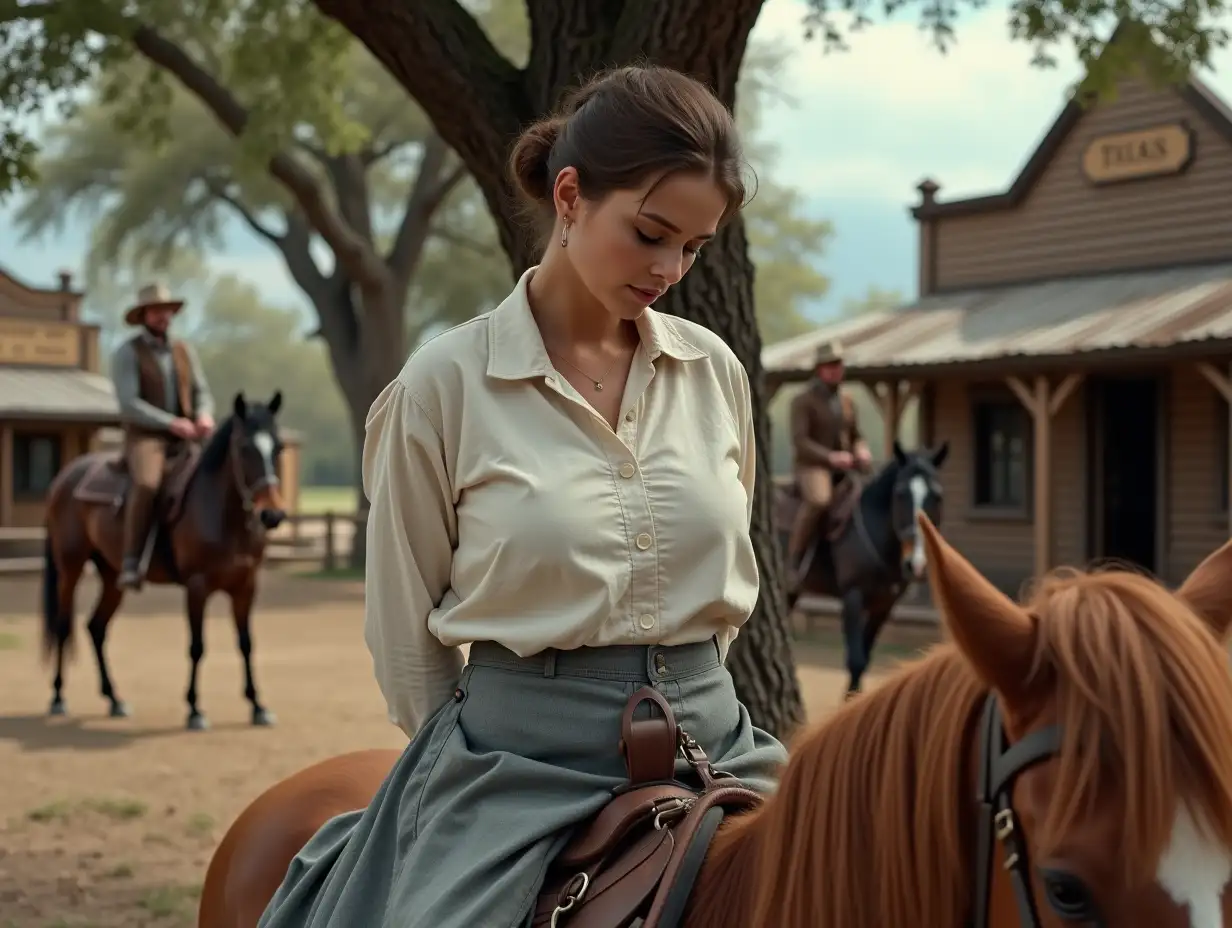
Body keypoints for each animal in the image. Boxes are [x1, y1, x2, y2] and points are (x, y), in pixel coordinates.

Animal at [39, 391, 290, 729]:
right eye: (244, 448)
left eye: (278, 447)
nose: (272, 514)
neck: (224, 515)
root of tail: (64, 478)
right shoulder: (197, 587)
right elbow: (197, 646)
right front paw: (195, 709)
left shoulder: (245, 587)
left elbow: (246, 643)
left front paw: (257, 705)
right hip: (71, 568)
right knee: (64, 626)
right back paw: (58, 697)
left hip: (112, 577)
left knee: (96, 627)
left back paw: (114, 699)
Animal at [778, 441, 951, 695]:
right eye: (900, 494)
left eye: (937, 496)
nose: (916, 563)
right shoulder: (853, 597)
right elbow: (856, 660)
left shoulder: (883, 606)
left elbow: (865, 660)